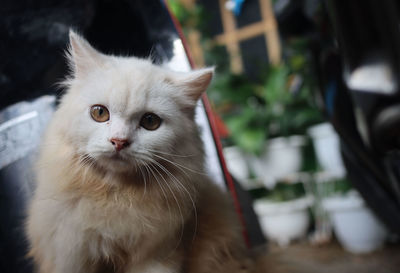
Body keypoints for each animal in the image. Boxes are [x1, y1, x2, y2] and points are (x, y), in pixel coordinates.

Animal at [25, 30, 252, 270]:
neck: (117, 196)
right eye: (99, 113)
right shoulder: (70, 254)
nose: (119, 141)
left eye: (150, 121)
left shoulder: (158, 256)